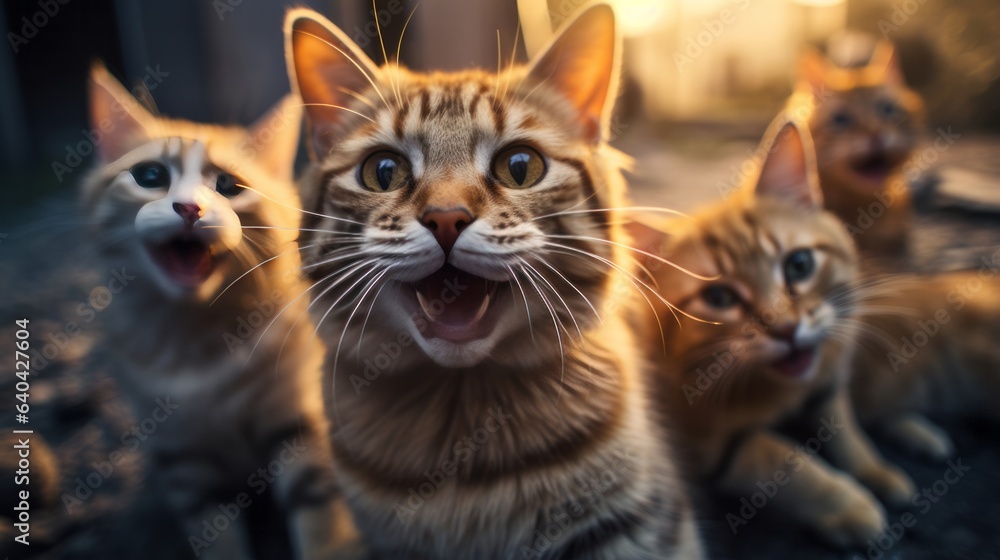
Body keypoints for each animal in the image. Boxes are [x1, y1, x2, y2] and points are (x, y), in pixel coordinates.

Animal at [80, 62, 344, 560]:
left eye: (228, 186)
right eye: (149, 175)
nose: (188, 208)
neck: (197, 338)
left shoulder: (301, 421)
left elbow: (322, 517)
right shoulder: (184, 461)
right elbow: (215, 535)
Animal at [628, 116, 916, 548]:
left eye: (799, 264)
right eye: (718, 296)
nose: (786, 329)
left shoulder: (827, 382)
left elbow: (844, 428)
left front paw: (875, 470)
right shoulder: (710, 448)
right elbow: (783, 459)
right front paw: (848, 505)